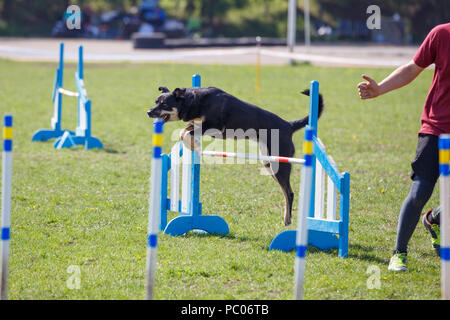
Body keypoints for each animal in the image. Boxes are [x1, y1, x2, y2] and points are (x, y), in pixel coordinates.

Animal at [149, 85, 324, 225]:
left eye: (164, 104)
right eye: (156, 101)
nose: (148, 112)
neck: (195, 101)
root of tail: (288, 125)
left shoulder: (215, 127)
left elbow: (186, 133)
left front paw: (192, 144)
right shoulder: (196, 123)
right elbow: (184, 131)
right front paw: (192, 144)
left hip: (279, 165)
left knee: (289, 193)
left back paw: (287, 219)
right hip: (268, 163)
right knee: (286, 192)